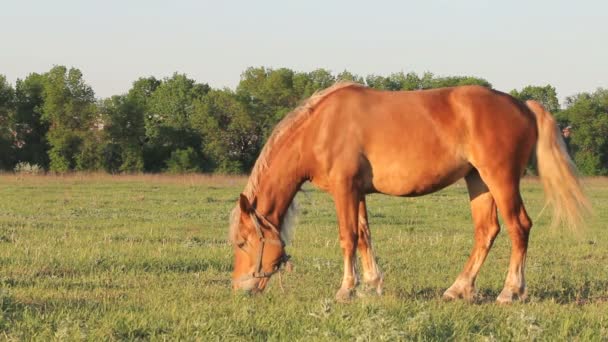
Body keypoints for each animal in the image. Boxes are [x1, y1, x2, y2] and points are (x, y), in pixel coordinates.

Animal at [228, 82, 588, 302]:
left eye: (243, 242)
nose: (239, 288)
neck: (321, 128)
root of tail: (523, 105)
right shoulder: (358, 191)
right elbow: (364, 235)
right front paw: (373, 284)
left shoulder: (344, 189)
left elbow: (347, 237)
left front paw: (346, 290)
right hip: (478, 182)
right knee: (487, 230)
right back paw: (458, 289)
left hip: (500, 180)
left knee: (519, 227)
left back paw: (510, 291)